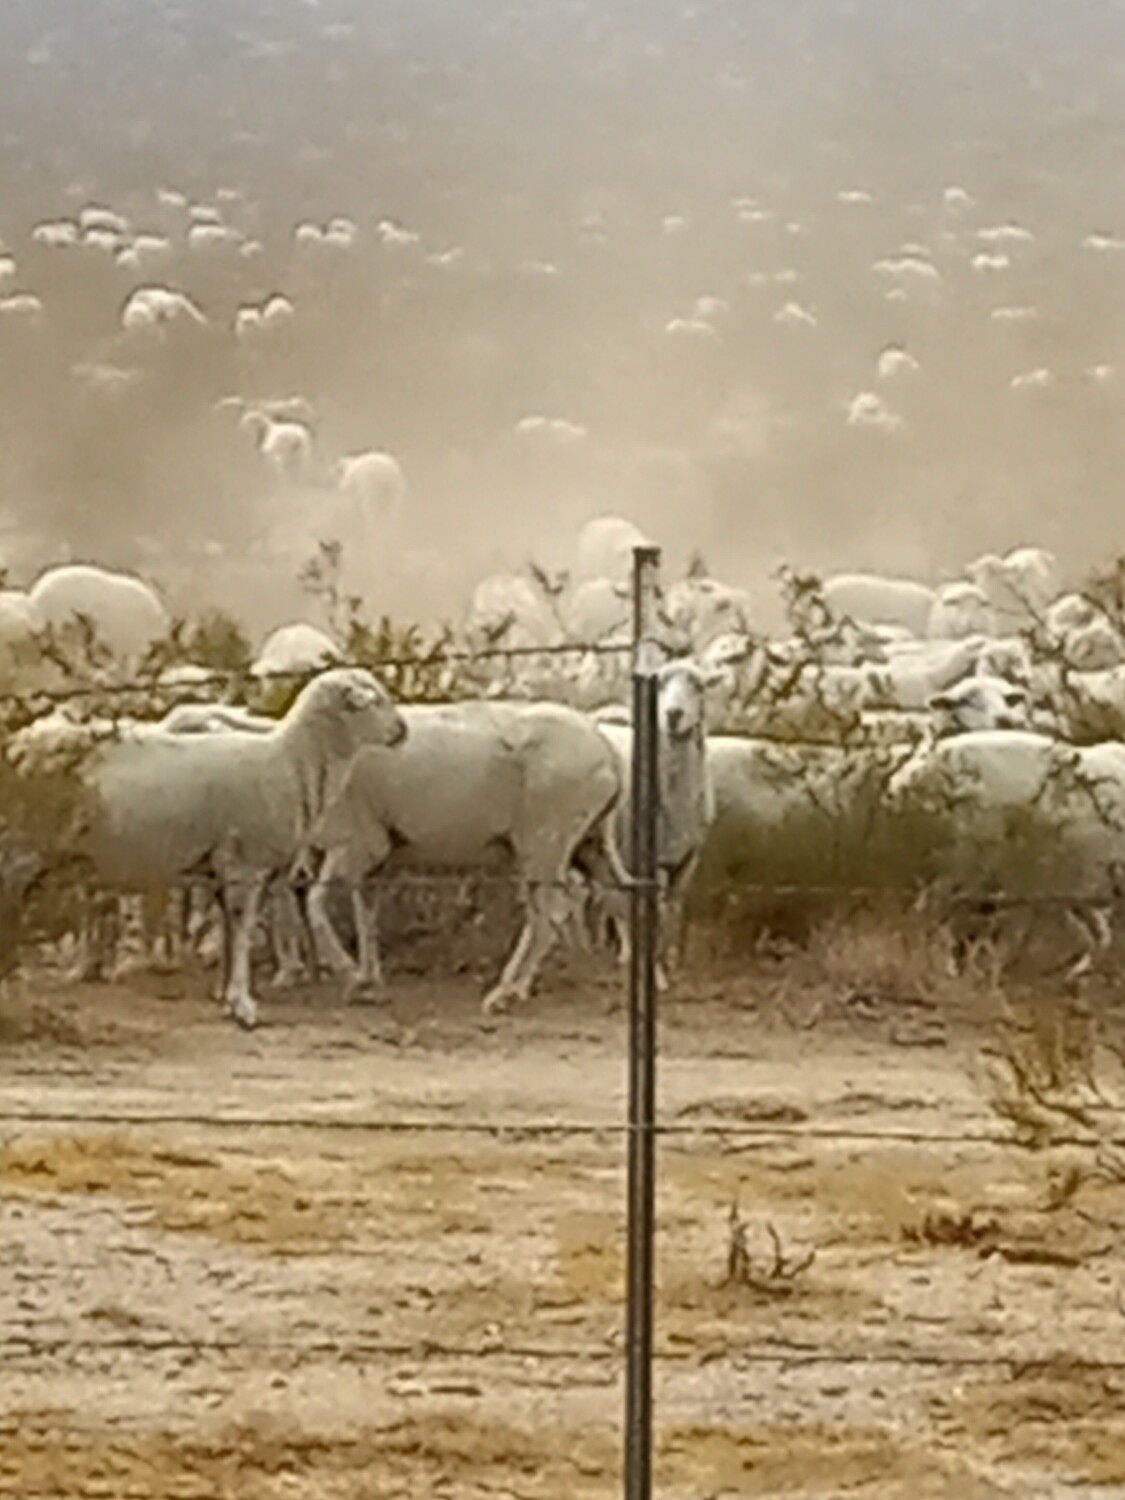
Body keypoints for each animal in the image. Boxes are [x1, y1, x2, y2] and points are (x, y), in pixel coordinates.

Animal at [76, 668, 407, 1028]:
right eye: (374, 700)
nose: (403, 729)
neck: (291, 761)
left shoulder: (223, 868)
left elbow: (231, 934)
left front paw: (225, 996)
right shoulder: (244, 865)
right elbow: (242, 931)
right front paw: (242, 1003)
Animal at [304, 700, 626, 1015]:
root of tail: (602, 742)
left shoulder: (359, 844)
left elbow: (316, 901)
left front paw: (350, 975)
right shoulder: (372, 860)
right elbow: (365, 916)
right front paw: (367, 983)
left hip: (545, 840)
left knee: (550, 913)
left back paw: (505, 993)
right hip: (590, 841)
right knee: (617, 894)